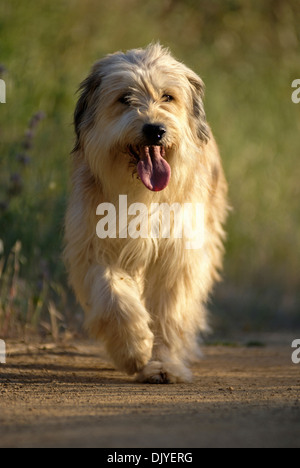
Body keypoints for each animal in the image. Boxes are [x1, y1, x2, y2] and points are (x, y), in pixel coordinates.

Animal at [63, 42, 227, 382]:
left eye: (168, 96)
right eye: (125, 98)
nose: (155, 130)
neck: (142, 196)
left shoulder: (178, 254)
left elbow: (169, 312)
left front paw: (164, 364)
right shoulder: (94, 244)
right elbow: (113, 295)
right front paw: (133, 349)